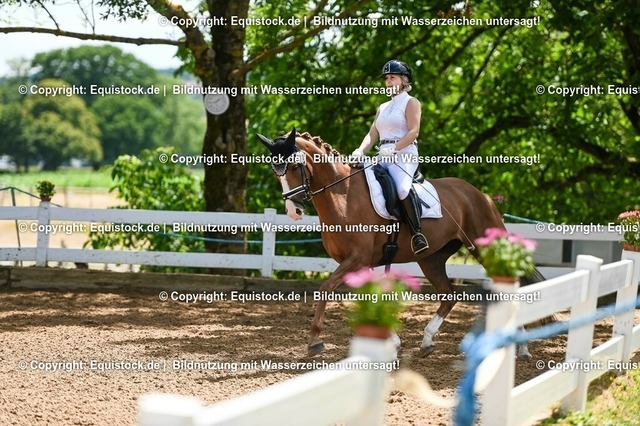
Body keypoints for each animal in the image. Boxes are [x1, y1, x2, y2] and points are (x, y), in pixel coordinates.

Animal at [258, 129, 542, 359]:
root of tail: (482, 196)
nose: (294, 211)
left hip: (482, 248)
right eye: (274, 171)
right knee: (449, 294)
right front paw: (393, 342)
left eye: (294, 167)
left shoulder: (356, 260)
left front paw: (315, 341)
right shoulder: (359, 264)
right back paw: (427, 342)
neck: (343, 196)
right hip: (431, 258)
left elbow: (325, 288)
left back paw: (521, 347)